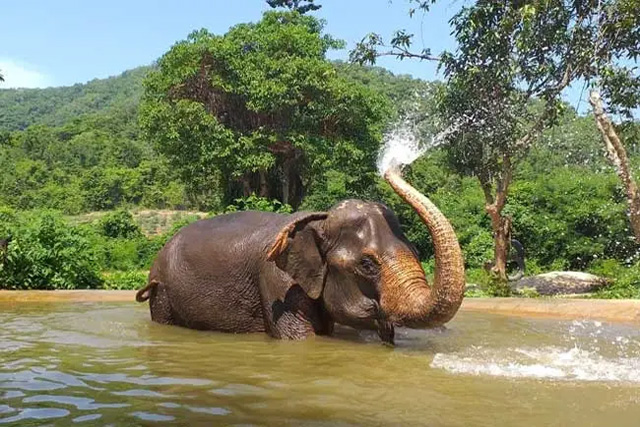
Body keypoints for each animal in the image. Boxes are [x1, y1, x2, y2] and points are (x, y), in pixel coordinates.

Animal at [136, 166, 464, 346]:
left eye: (417, 252)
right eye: (367, 264)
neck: (319, 221)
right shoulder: (276, 282)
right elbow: (300, 338)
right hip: (162, 294)